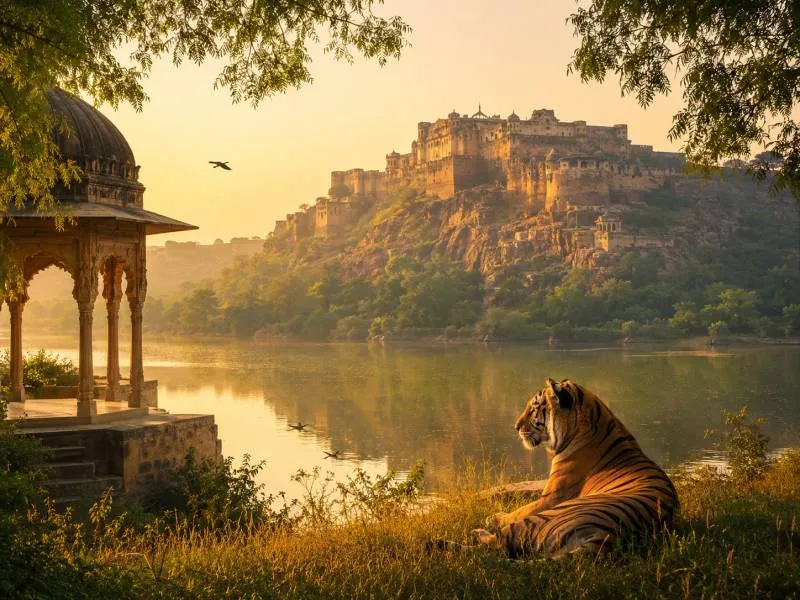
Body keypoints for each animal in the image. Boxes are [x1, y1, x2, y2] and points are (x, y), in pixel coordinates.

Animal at [429, 377, 678, 559]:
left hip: (547, 515)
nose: (515, 426)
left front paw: (495, 516)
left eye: (533, 410)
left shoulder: (550, 498)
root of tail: (605, 537)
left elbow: (518, 510)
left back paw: (452, 538)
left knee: (497, 545)